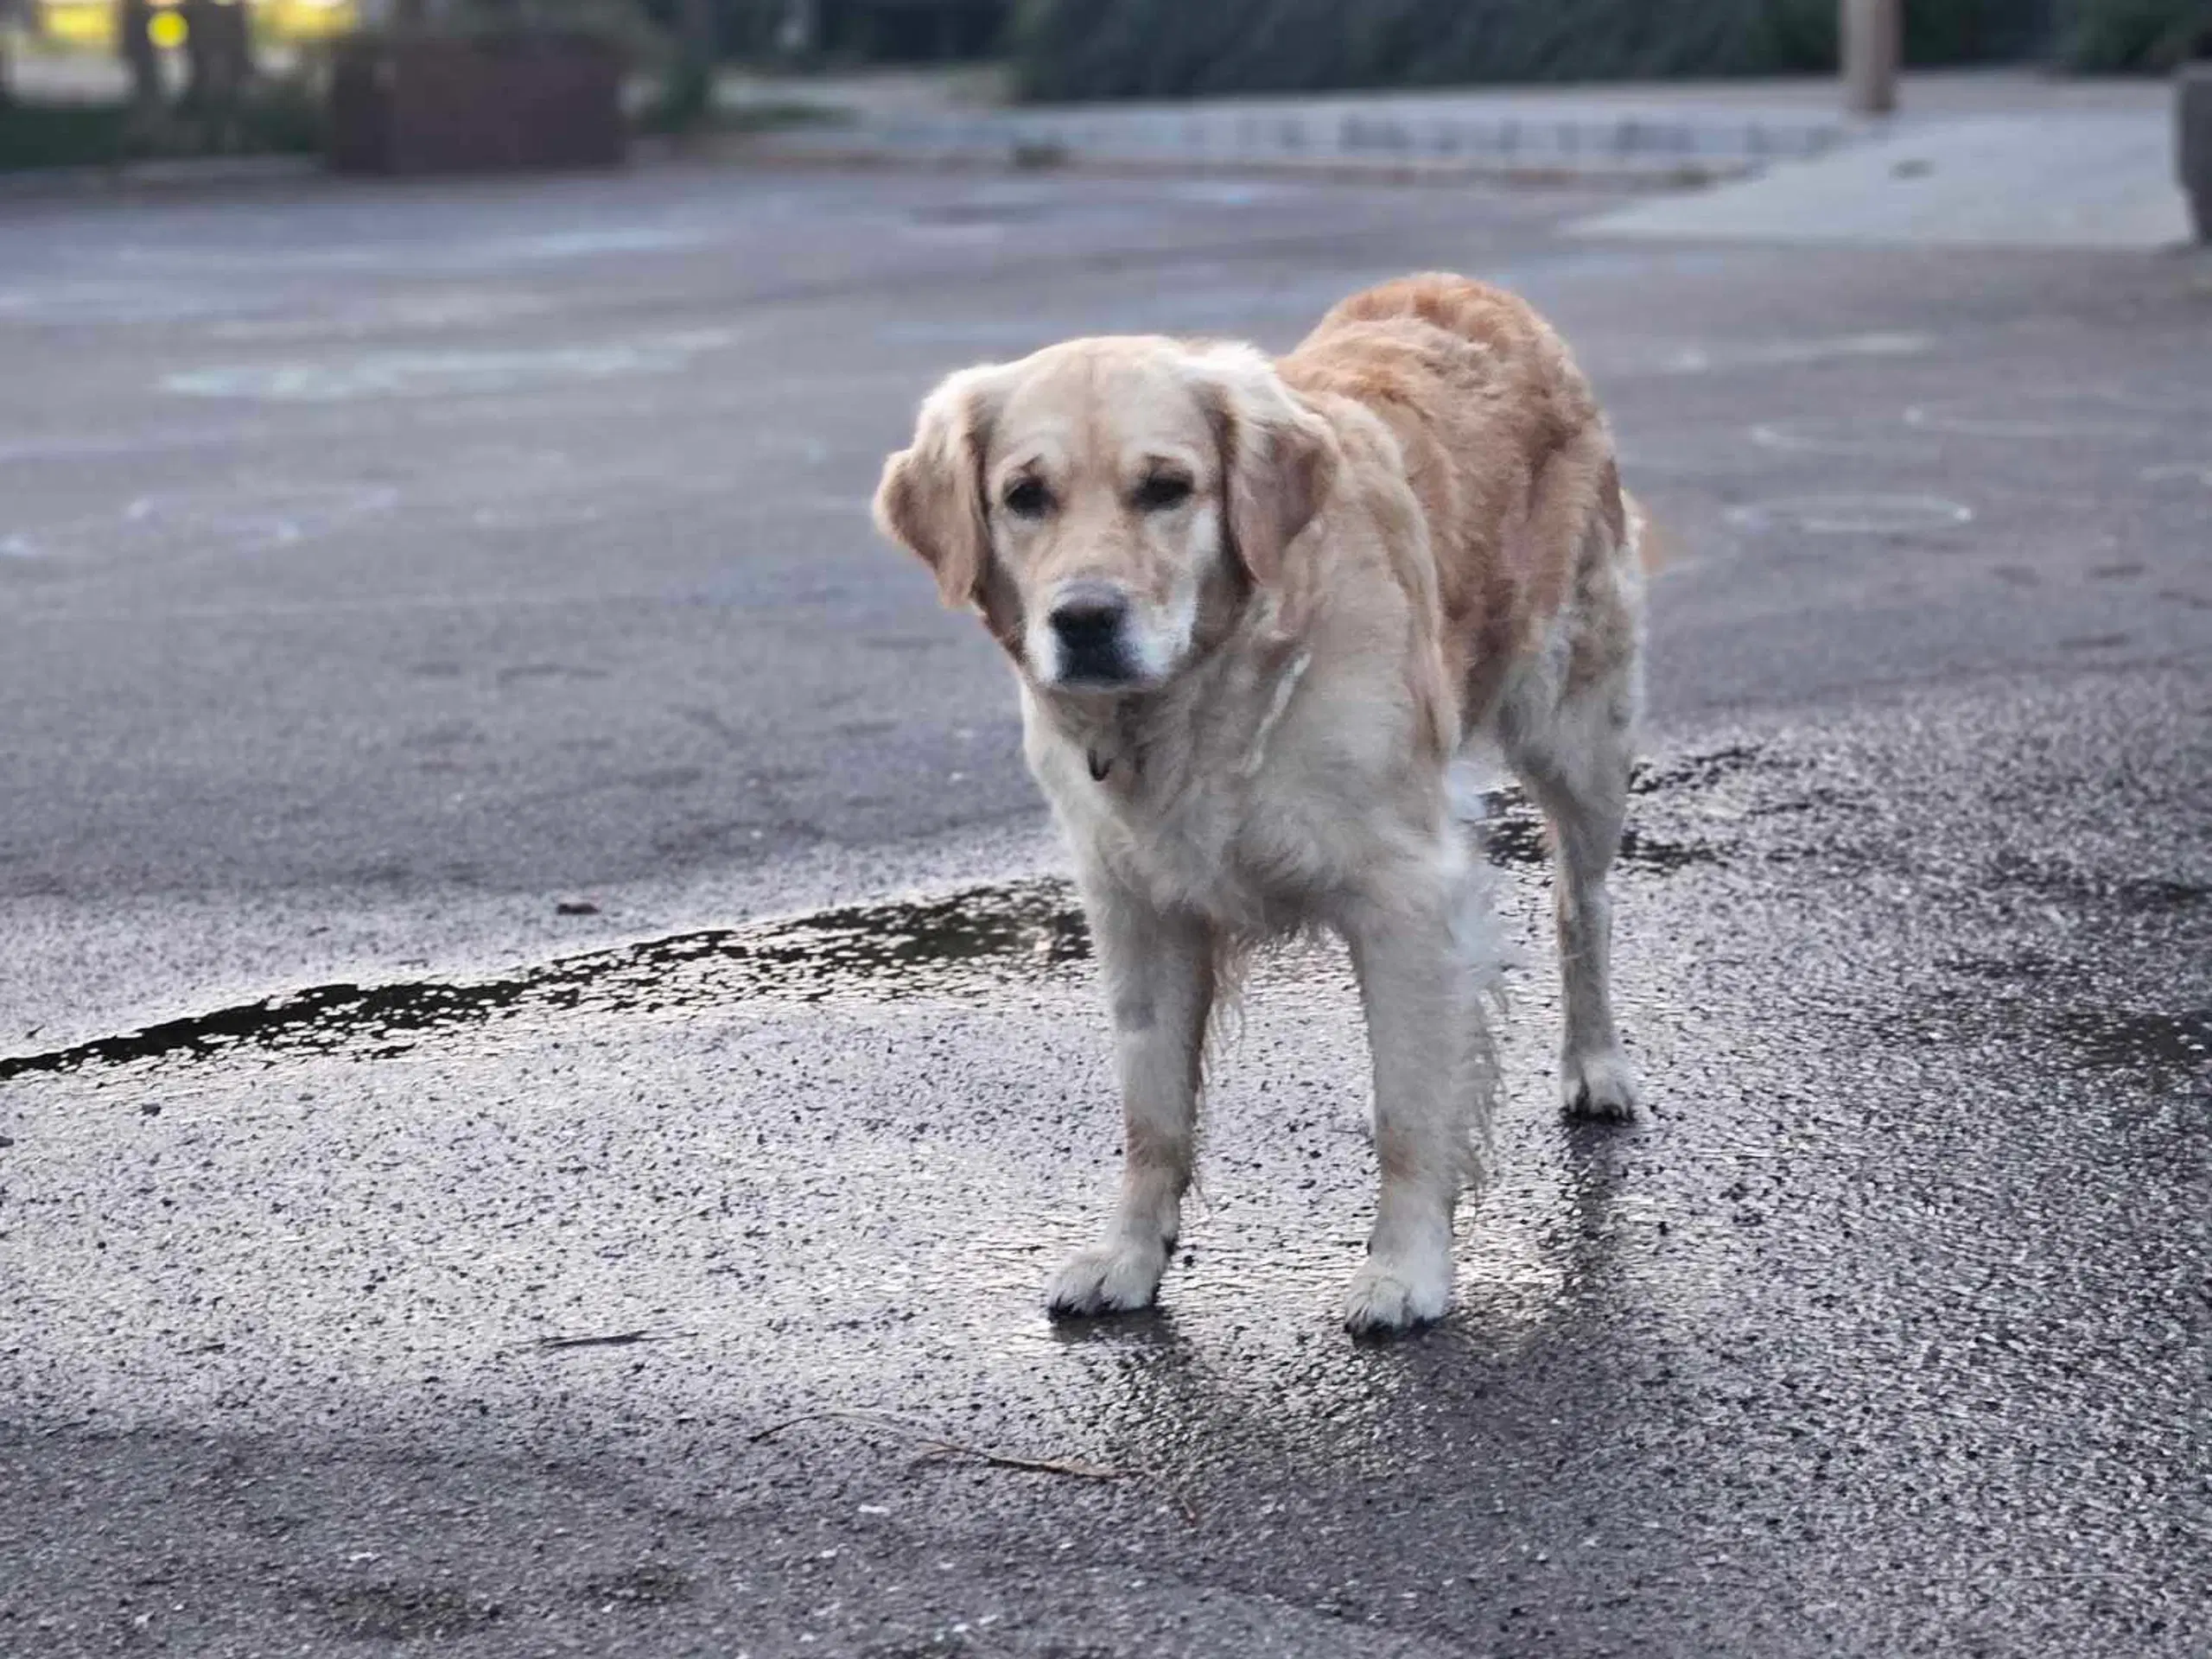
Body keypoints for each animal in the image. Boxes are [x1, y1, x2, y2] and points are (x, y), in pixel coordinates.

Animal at [875, 273, 1645, 1336]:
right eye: (1024, 497)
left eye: (1166, 487)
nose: (1084, 620)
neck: (1197, 700)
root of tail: (1467, 287)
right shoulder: (1135, 907)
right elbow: (1151, 1111)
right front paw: (1130, 1256)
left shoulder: (1405, 889)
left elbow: (1409, 1111)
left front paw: (1406, 1269)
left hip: (1578, 733)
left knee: (1584, 903)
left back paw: (1595, 1064)